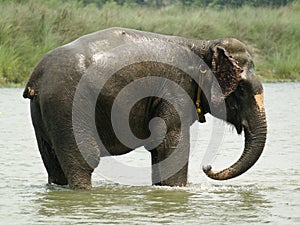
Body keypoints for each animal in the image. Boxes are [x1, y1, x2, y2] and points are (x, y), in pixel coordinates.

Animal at [24, 27, 268, 190]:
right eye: (242, 89)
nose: (208, 167)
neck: (201, 45)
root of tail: (37, 77)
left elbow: (160, 150)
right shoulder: (175, 90)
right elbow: (170, 144)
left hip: (44, 112)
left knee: (53, 164)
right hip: (69, 104)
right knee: (84, 160)